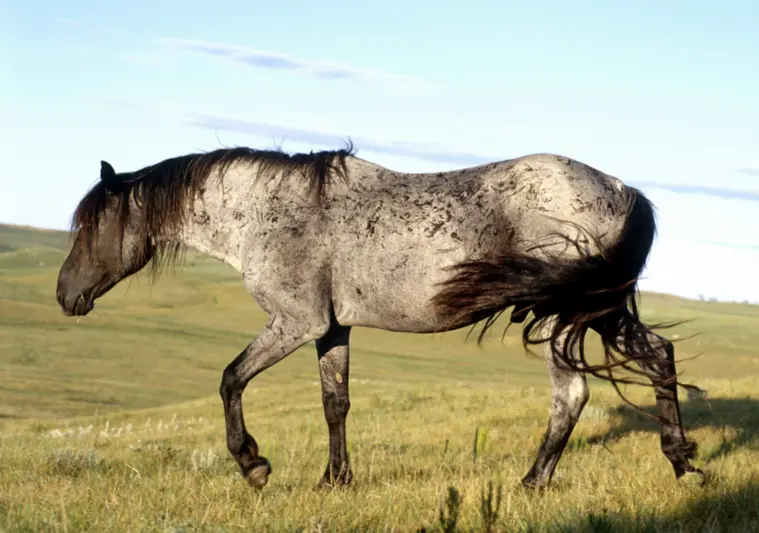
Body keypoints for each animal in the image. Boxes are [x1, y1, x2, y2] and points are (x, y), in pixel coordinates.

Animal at [56, 142, 705, 490]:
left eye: (90, 226)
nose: (65, 296)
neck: (267, 211)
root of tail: (622, 190)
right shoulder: (332, 329)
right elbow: (334, 403)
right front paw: (333, 480)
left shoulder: (295, 324)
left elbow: (231, 378)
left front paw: (254, 464)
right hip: (593, 311)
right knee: (655, 358)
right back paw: (681, 463)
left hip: (564, 317)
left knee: (572, 394)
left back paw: (532, 483)